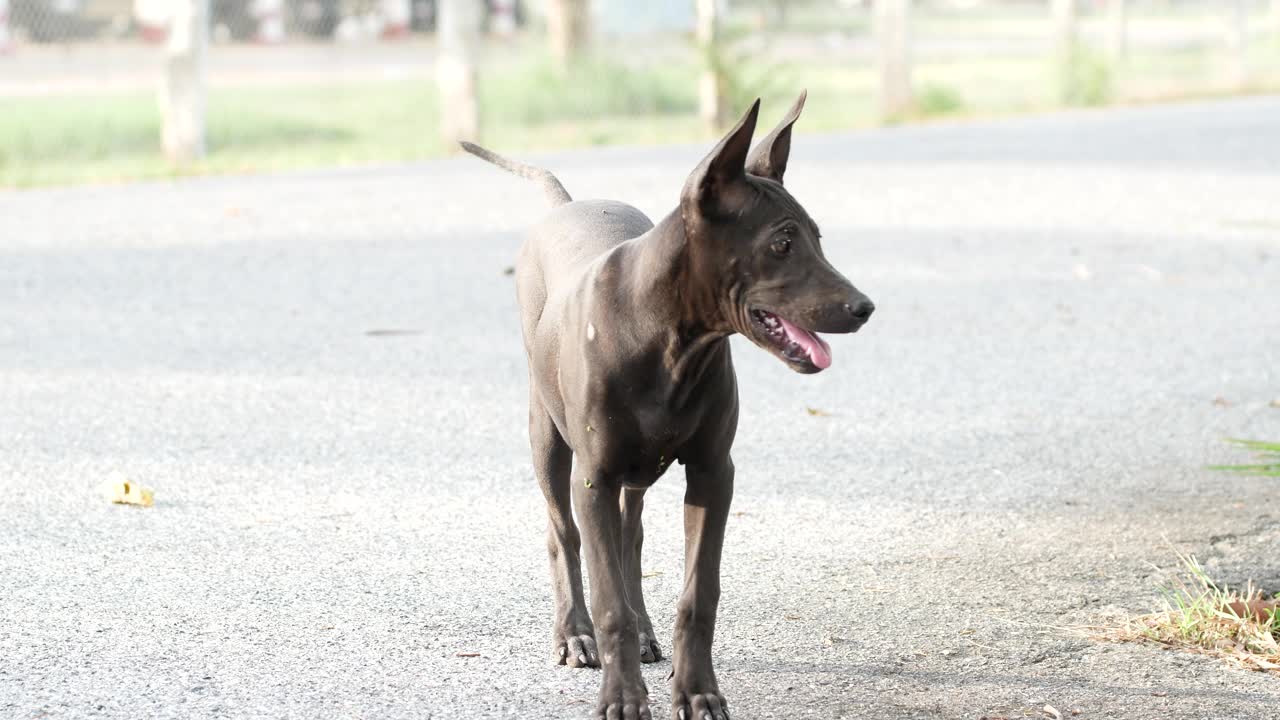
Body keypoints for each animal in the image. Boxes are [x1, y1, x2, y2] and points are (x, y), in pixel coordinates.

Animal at [465, 92, 875, 712]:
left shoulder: (713, 472)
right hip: (548, 438)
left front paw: (698, 691)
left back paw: (644, 631)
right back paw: (574, 635)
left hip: (636, 472)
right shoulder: (594, 478)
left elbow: (697, 593)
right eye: (781, 243)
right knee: (564, 534)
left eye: (817, 238)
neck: (668, 338)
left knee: (629, 539)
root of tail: (568, 204)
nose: (863, 307)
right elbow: (608, 599)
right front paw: (622, 696)